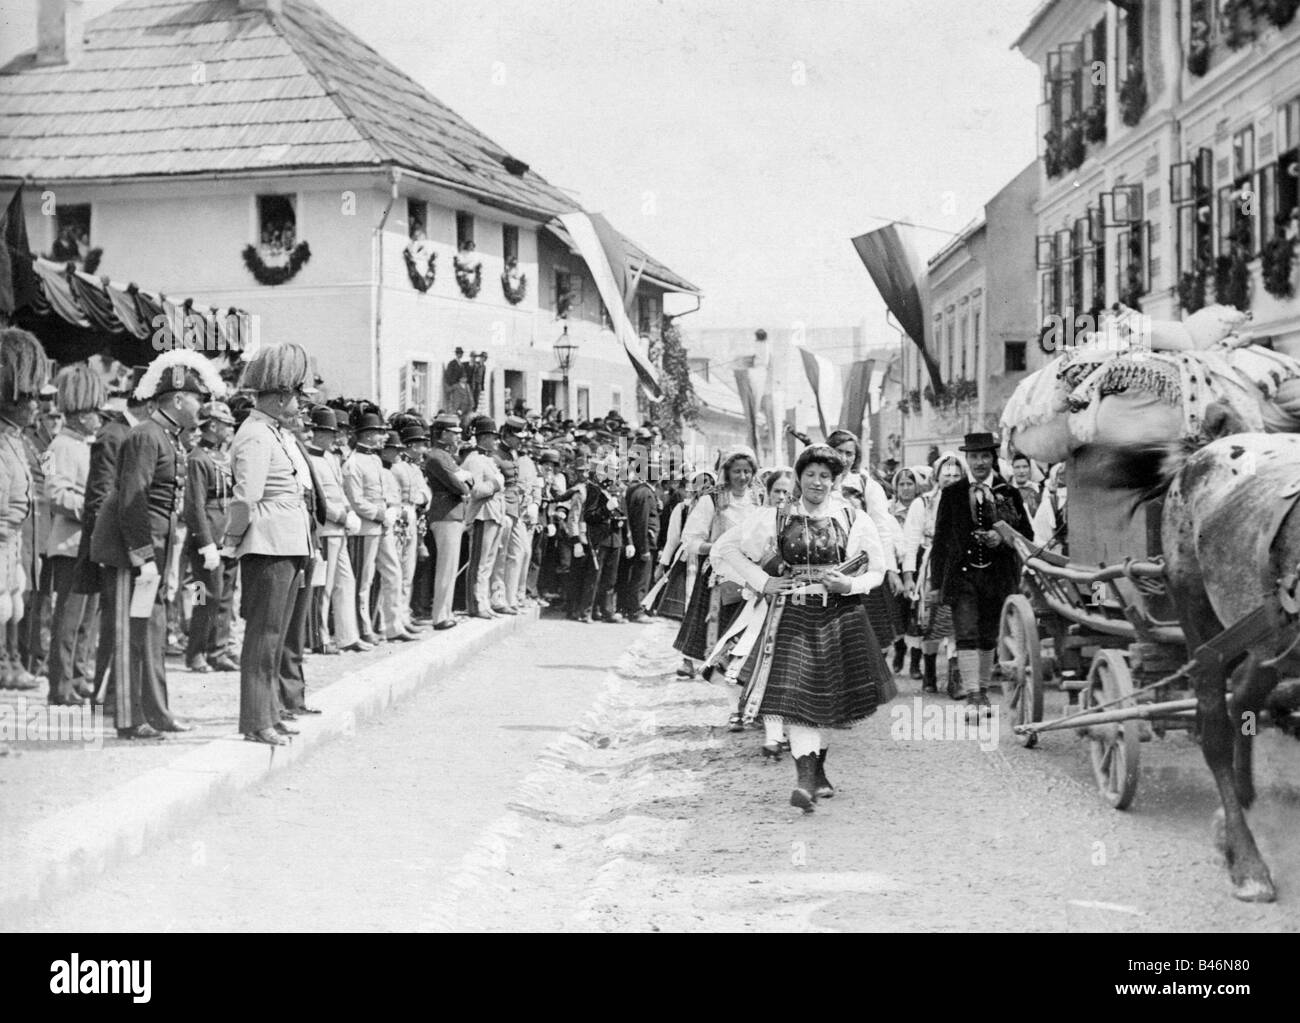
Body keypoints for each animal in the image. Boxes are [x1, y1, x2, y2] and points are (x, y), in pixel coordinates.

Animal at [1081, 423, 1300, 904]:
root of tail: (1200, 452)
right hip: (1199, 617)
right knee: (1215, 724)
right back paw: (1246, 858)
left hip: (1261, 639)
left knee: (1243, 699)